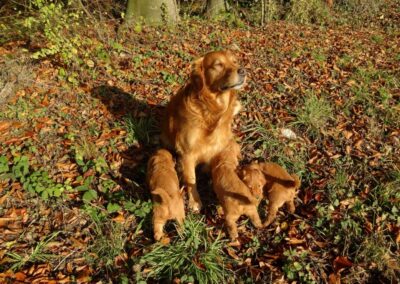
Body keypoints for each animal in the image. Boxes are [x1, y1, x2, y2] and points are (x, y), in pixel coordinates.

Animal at [161, 50, 245, 212]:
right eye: (218, 65)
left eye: (235, 61)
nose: (243, 71)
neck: (212, 109)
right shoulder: (187, 152)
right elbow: (191, 179)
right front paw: (194, 201)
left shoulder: (218, 147)